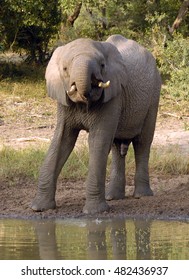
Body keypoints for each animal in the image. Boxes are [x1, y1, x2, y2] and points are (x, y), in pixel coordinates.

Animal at [31, 35, 161, 214]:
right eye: (65, 69)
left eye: (102, 65)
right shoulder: (64, 101)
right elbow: (62, 141)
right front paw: (39, 208)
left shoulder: (114, 96)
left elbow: (97, 141)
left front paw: (94, 212)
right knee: (116, 146)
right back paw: (113, 197)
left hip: (154, 95)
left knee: (142, 142)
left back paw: (141, 195)